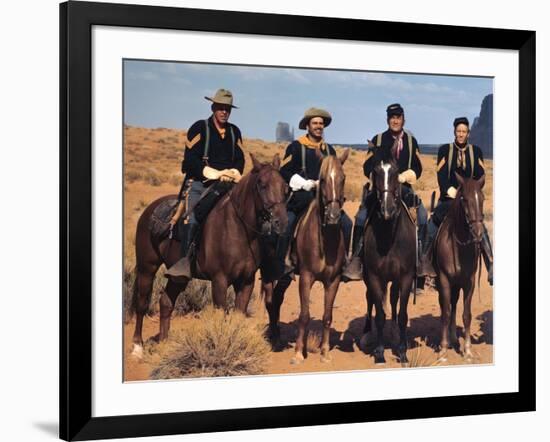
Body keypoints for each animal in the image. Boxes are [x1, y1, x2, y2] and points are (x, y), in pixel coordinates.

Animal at [130, 154, 288, 358]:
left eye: (285, 187)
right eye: (262, 184)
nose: (281, 222)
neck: (237, 228)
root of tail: (149, 210)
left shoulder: (246, 281)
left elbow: (238, 316)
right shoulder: (219, 280)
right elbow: (221, 316)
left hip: (178, 277)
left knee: (165, 302)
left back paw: (164, 344)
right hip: (146, 267)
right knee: (142, 303)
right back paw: (137, 347)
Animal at [362, 147, 418, 364]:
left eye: (395, 171)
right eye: (375, 171)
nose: (387, 210)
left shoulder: (406, 276)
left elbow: (402, 314)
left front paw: (402, 351)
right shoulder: (375, 276)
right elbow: (379, 315)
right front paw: (379, 352)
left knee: (394, 299)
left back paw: (394, 331)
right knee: (370, 299)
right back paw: (367, 333)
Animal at [436, 173, 488, 362]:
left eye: (482, 198)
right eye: (464, 199)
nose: (478, 233)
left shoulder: (469, 282)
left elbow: (466, 315)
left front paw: (467, 350)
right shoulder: (444, 280)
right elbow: (445, 313)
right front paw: (443, 350)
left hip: (457, 285)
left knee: (454, 305)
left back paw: (453, 338)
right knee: (447, 307)